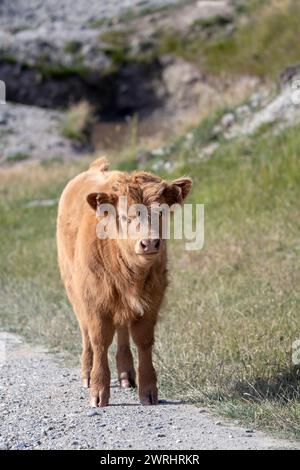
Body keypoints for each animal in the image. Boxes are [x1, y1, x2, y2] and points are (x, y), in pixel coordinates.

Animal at [56, 158, 192, 408]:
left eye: (161, 213)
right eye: (125, 216)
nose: (149, 243)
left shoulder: (152, 298)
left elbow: (143, 340)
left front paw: (148, 390)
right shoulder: (95, 299)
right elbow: (99, 339)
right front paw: (99, 391)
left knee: (121, 330)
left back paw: (126, 374)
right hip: (74, 290)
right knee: (86, 332)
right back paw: (87, 373)